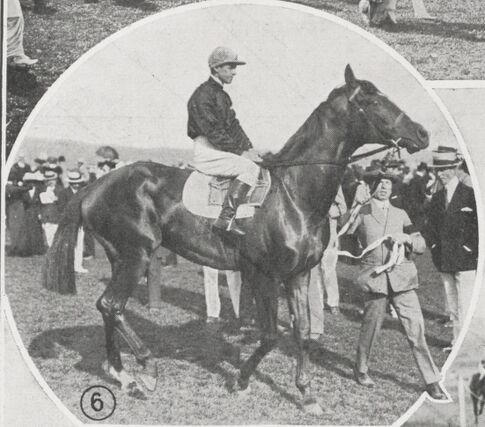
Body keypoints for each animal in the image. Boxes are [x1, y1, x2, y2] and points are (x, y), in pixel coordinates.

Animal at [42, 65, 429, 414]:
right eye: (372, 99)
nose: (422, 133)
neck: (292, 195)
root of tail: (95, 186)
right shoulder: (264, 275)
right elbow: (270, 335)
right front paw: (241, 380)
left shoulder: (299, 274)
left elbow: (302, 332)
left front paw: (306, 394)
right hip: (137, 256)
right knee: (112, 305)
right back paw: (147, 370)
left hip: (120, 257)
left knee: (109, 307)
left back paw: (119, 372)